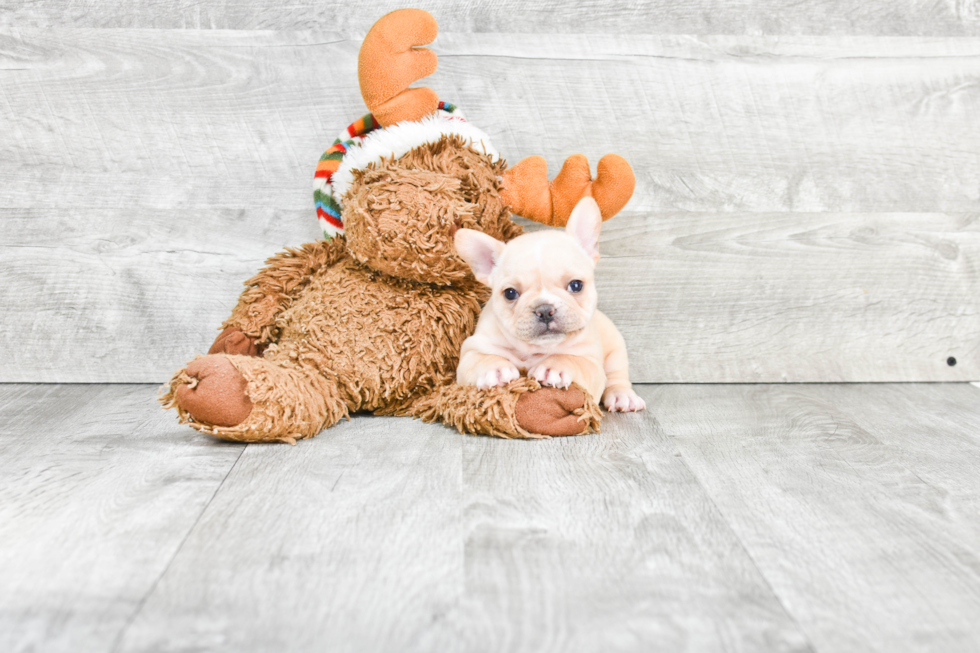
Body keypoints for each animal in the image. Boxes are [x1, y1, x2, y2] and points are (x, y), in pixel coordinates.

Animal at [456, 195, 648, 412]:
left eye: (576, 285)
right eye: (510, 293)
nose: (545, 310)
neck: (536, 349)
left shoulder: (591, 364)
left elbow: (572, 359)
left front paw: (554, 367)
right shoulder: (472, 349)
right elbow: (480, 358)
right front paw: (494, 369)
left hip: (616, 350)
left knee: (618, 377)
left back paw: (623, 396)